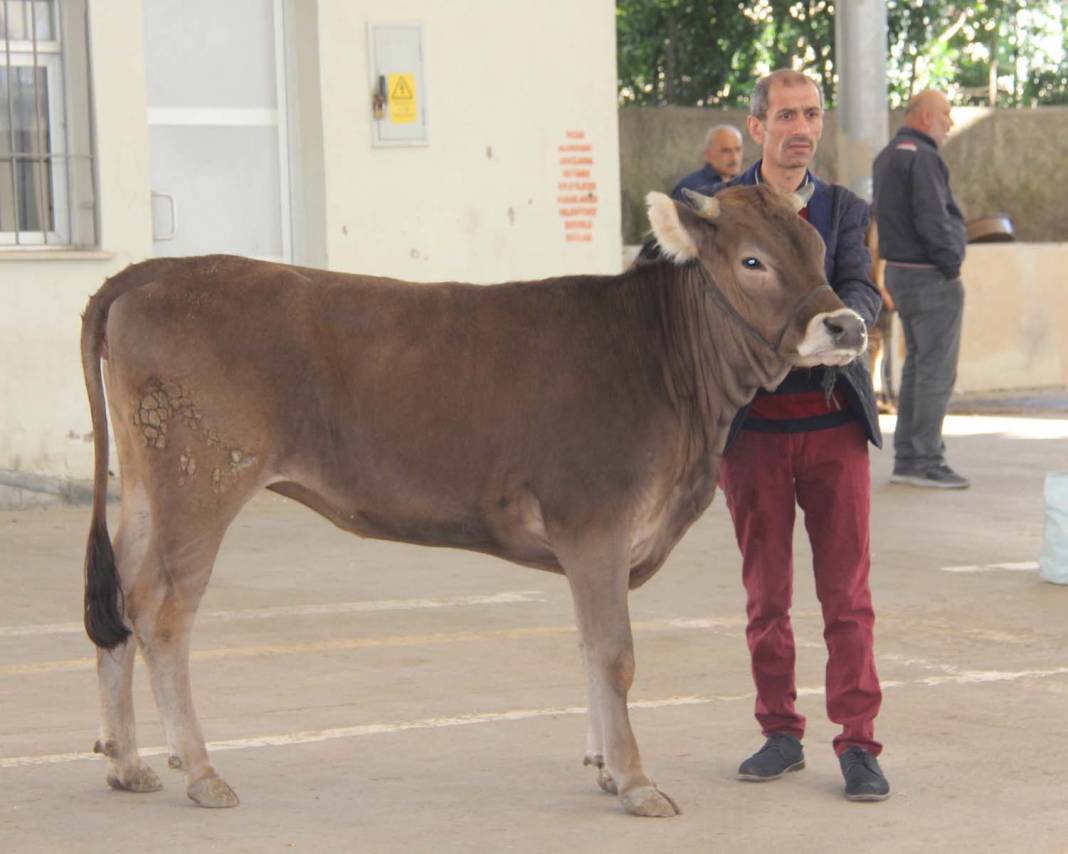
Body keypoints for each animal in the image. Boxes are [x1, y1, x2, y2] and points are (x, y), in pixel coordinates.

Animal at [81, 183, 867, 815]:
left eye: (816, 245)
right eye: (753, 261)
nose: (847, 325)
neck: (670, 371)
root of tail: (159, 269)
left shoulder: (598, 546)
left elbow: (590, 648)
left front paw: (605, 767)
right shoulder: (597, 523)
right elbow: (615, 654)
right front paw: (638, 782)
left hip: (149, 485)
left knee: (121, 596)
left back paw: (127, 764)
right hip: (201, 483)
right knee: (164, 615)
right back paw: (200, 771)